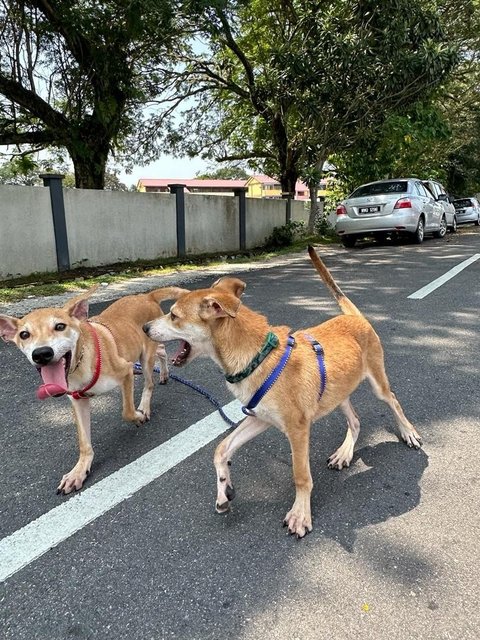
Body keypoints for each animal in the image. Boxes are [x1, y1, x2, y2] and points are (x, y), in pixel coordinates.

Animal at [0, 286, 187, 496]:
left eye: (60, 326)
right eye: (24, 334)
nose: (41, 354)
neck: (79, 364)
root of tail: (146, 296)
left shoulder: (126, 371)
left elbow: (127, 412)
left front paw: (138, 416)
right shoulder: (78, 400)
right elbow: (84, 442)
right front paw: (79, 471)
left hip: (146, 356)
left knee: (149, 383)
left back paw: (145, 406)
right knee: (162, 351)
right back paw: (164, 373)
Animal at [144, 248, 422, 536]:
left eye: (174, 315)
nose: (144, 328)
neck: (257, 356)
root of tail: (354, 317)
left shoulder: (297, 430)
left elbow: (300, 475)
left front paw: (300, 514)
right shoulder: (259, 418)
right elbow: (221, 449)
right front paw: (223, 490)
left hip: (377, 383)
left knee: (393, 402)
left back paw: (408, 433)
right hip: (336, 393)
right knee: (355, 421)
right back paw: (345, 453)